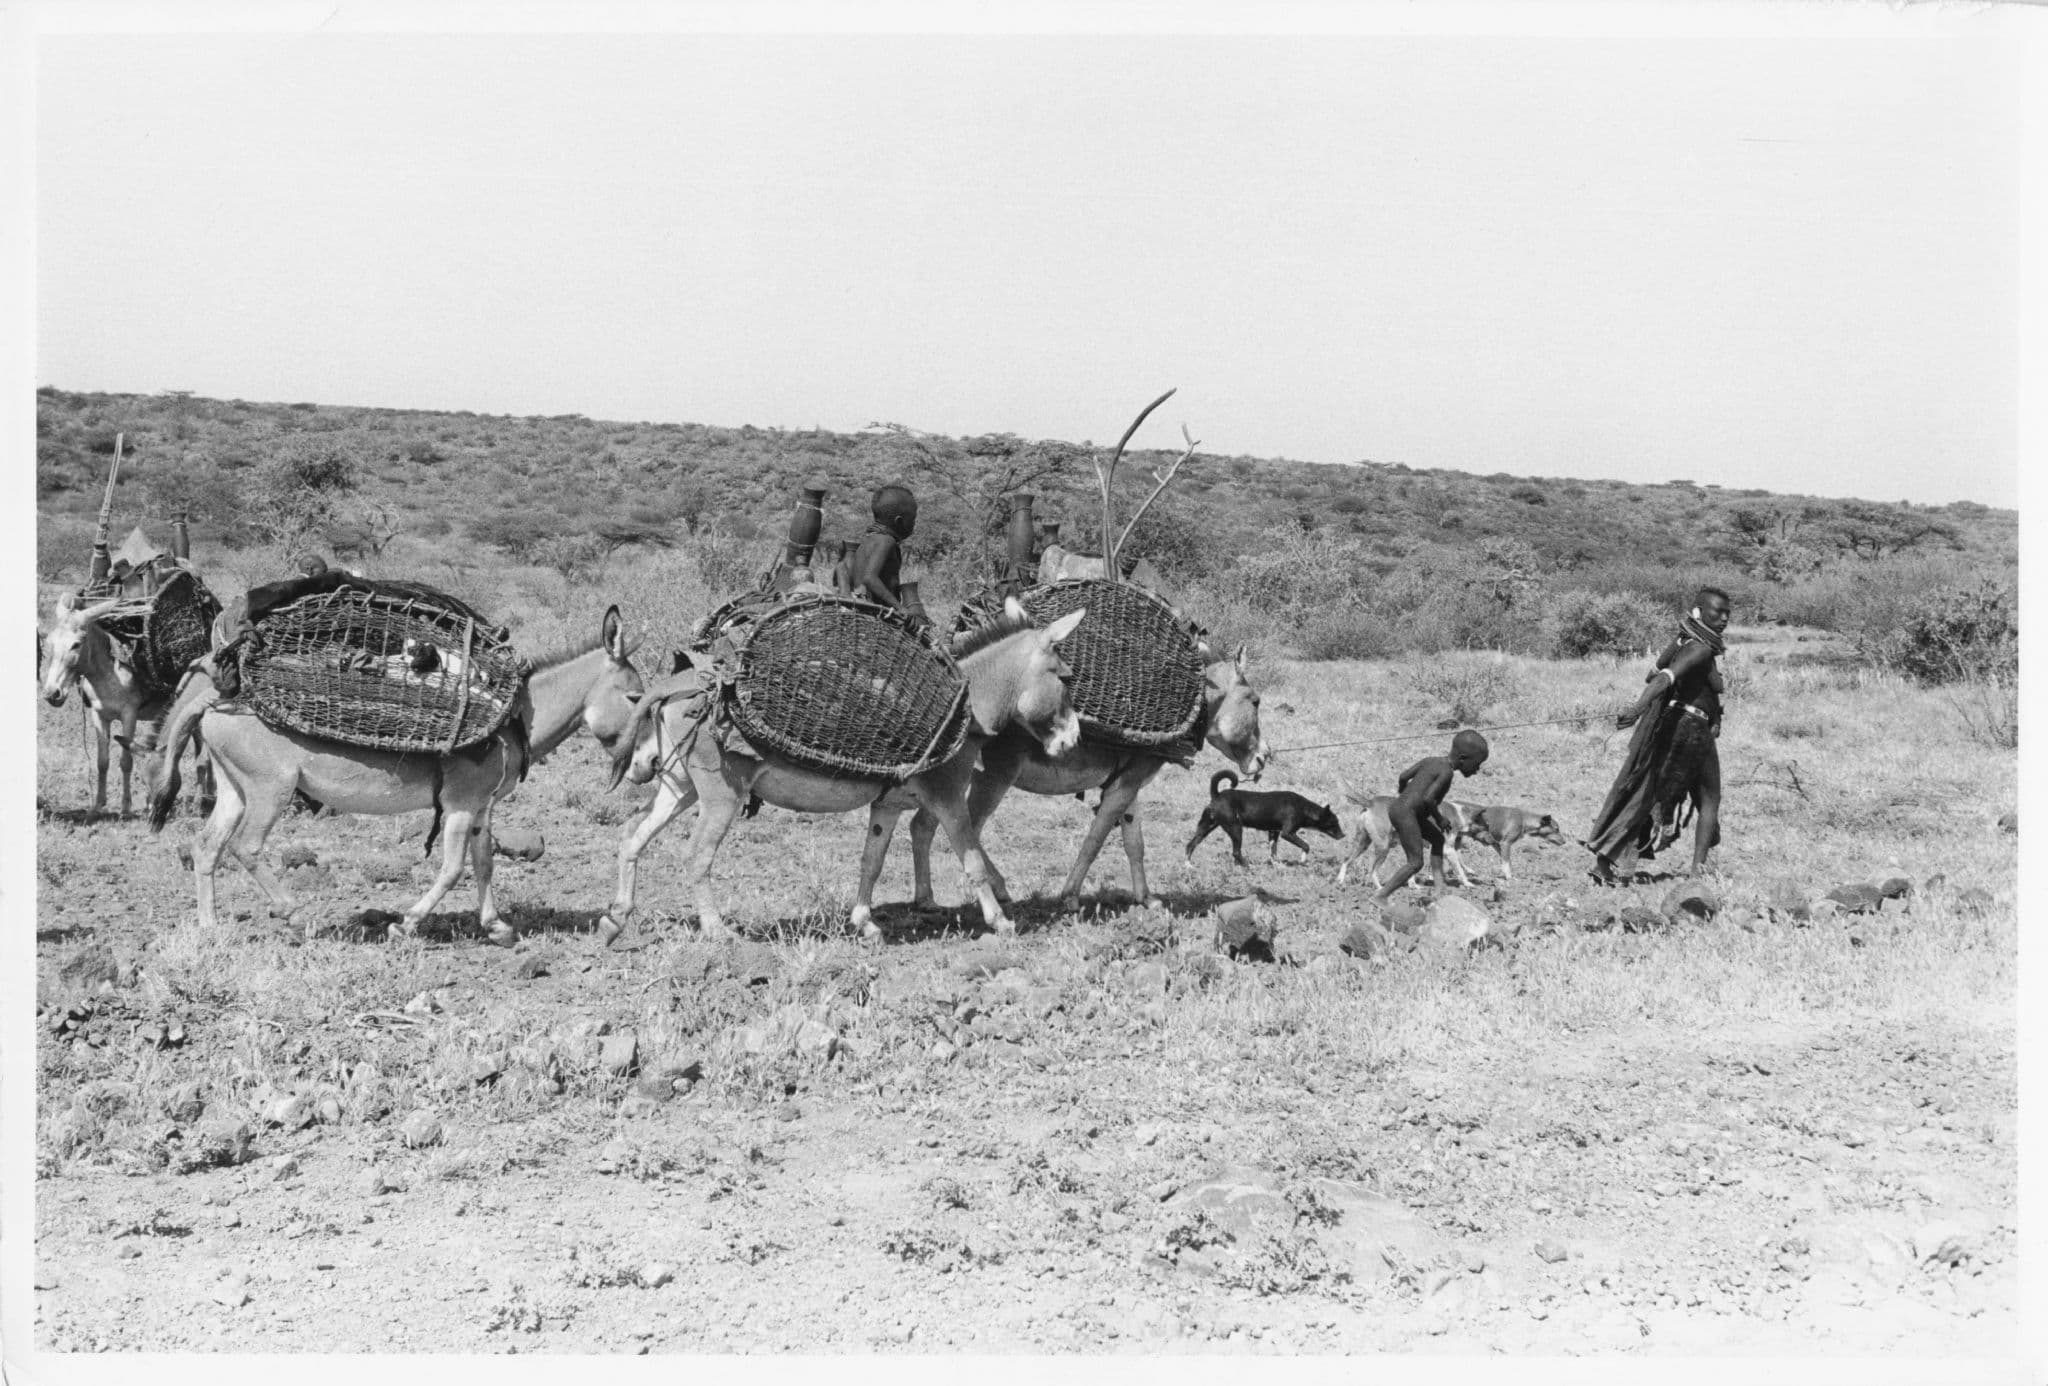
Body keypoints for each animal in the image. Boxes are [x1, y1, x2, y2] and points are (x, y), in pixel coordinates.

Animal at [146, 606, 646, 945]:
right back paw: (293, 913)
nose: (645, 767)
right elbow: (452, 869)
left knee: (206, 847)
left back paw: (210, 929)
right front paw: (405, 924)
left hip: (235, 789)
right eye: (637, 697)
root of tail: (213, 700)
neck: (514, 717)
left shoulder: (481, 808)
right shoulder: (460, 805)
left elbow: (484, 864)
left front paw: (496, 927)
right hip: (272, 790)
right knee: (245, 847)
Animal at [600, 600, 1086, 944]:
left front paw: (864, 923)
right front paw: (1001, 922)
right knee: (697, 855)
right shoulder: (948, 798)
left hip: (680, 787)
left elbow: (871, 862)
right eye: (1064, 677)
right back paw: (716, 930)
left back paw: (616, 918)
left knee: (631, 834)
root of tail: (672, 685)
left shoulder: (888, 804)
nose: (1073, 741)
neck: (964, 710)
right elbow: (973, 861)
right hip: (721, 796)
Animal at [901, 642, 1269, 911]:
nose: (1265, 757)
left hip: (954, 778)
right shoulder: (1122, 788)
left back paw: (926, 899)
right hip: (992, 778)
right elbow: (1095, 841)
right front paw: (1070, 896)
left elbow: (1135, 845)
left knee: (923, 825)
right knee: (968, 831)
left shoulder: (1128, 786)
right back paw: (995, 891)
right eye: (1255, 701)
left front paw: (1147, 899)